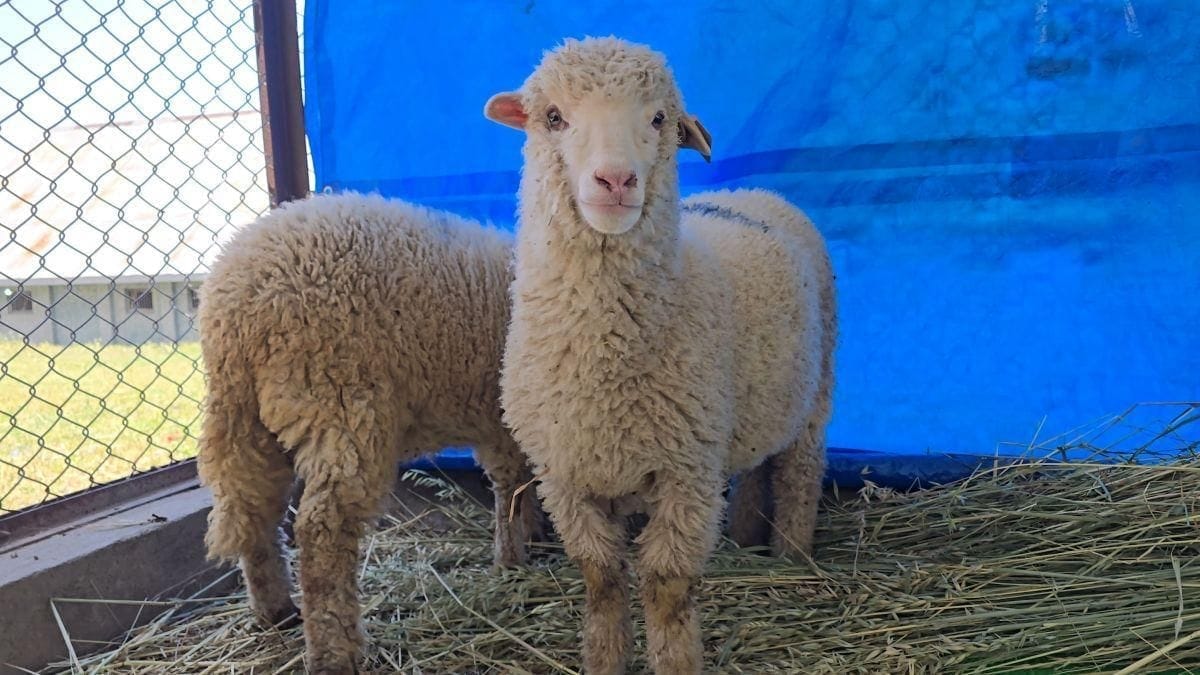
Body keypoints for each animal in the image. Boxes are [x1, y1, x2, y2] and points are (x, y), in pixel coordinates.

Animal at [196, 192, 544, 675]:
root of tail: (235, 306)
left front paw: (530, 536)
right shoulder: (506, 420)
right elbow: (512, 486)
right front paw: (512, 561)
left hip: (246, 422)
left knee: (255, 513)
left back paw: (276, 612)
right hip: (341, 399)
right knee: (322, 529)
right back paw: (334, 653)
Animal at [485, 37, 836, 674]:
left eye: (658, 119)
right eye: (553, 117)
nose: (615, 180)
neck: (603, 362)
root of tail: (752, 193)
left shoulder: (686, 477)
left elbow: (668, 589)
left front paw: (674, 659)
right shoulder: (567, 479)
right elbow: (601, 580)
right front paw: (603, 659)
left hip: (816, 397)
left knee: (800, 474)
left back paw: (792, 555)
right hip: (752, 406)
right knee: (756, 464)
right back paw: (747, 534)